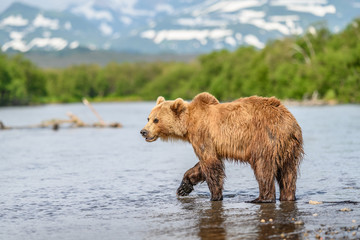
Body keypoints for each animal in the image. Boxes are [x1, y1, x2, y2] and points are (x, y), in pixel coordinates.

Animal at [139, 92, 302, 202]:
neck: (189, 123)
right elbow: (202, 165)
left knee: (263, 169)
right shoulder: (211, 143)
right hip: (289, 148)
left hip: (264, 139)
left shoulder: (203, 134)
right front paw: (183, 187)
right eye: (148, 117)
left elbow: (210, 164)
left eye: (156, 120)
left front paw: (215, 196)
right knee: (288, 174)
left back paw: (261, 198)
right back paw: (287, 196)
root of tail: (288, 122)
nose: (143, 131)